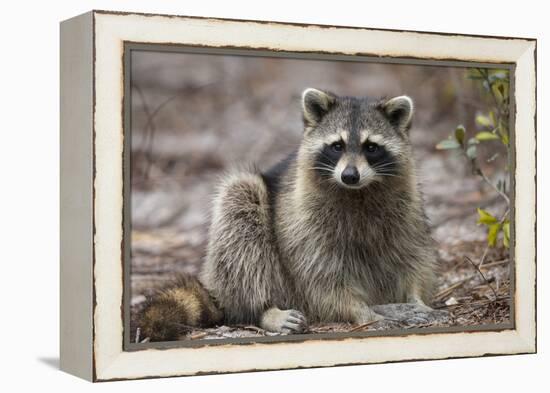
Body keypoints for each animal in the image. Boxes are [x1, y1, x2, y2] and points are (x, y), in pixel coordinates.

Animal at [139, 87, 440, 338]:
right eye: (337, 146)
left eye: (371, 147)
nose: (350, 175)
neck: (357, 192)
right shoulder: (305, 223)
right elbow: (320, 276)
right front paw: (361, 312)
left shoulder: (406, 207)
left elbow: (412, 255)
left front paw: (415, 298)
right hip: (246, 236)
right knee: (241, 221)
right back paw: (265, 311)